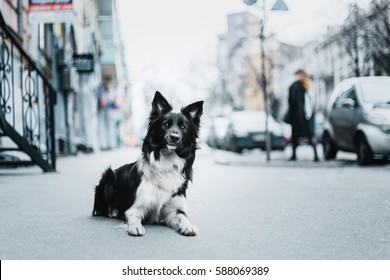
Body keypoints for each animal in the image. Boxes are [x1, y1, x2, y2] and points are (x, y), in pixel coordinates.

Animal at [92, 92, 203, 236]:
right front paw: (135, 226)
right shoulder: (136, 206)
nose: (174, 137)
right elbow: (133, 216)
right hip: (108, 177)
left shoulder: (173, 209)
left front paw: (188, 226)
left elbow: (182, 216)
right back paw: (113, 212)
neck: (166, 162)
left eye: (183, 127)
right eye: (165, 124)